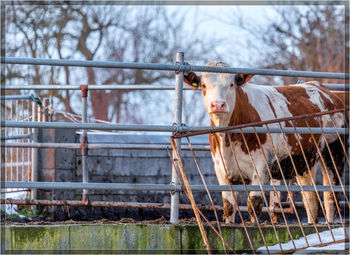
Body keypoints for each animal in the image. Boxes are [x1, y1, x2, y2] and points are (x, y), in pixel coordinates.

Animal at [183, 60, 348, 224]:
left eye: (231, 84)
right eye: (203, 85)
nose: (218, 105)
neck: (227, 140)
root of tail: (322, 88)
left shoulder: (260, 167)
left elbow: (254, 204)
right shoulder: (220, 168)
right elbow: (228, 206)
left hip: (334, 150)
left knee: (331, 196)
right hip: (304, 160)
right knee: (310, 198)